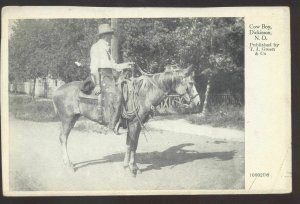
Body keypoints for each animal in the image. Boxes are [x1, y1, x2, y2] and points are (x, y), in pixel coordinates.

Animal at [52, 66, 200, 176]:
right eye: (191, 83)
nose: (198, 102)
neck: (143, 94)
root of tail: (57, 90)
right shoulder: (134, 123)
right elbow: (132, 145)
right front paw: (132, 168)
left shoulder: (136, 125)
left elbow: (132, 144)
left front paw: (129, 166)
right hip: (67, 119)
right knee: (63, 138)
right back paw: (69, 165)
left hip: (73, 118)